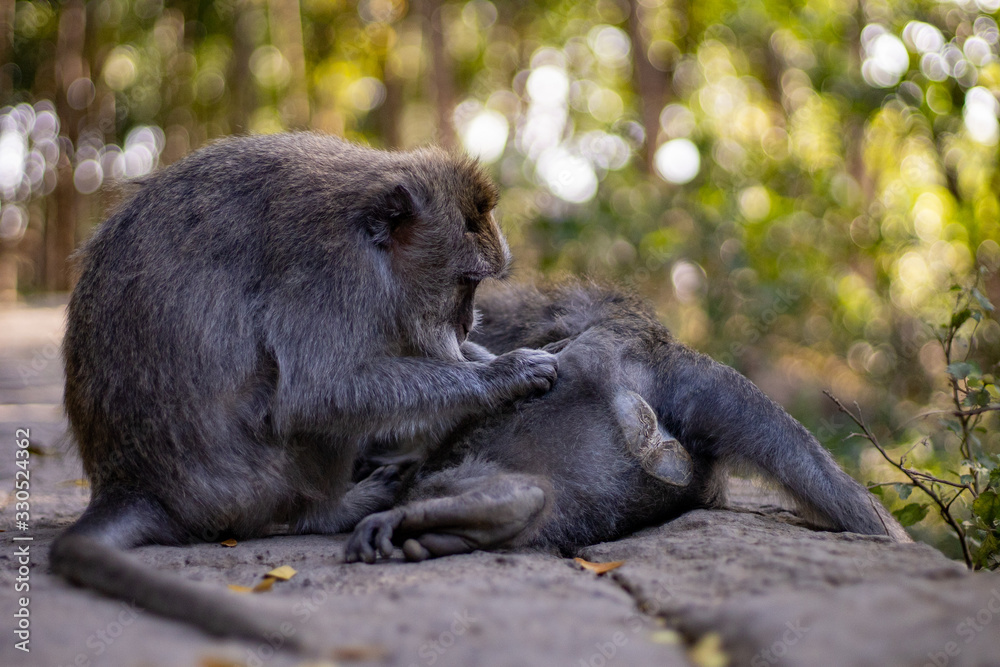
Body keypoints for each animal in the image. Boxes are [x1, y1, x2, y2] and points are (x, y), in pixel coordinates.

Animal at [50, 133, 560, 640]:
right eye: (465, 283)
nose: (467, 324)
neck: (369, 238)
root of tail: (131, 485)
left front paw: (492, 357)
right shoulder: (330, 273)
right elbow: (318, 393)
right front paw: (502, 375)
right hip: (251, 482)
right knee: (305, 411)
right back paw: (333, 510)